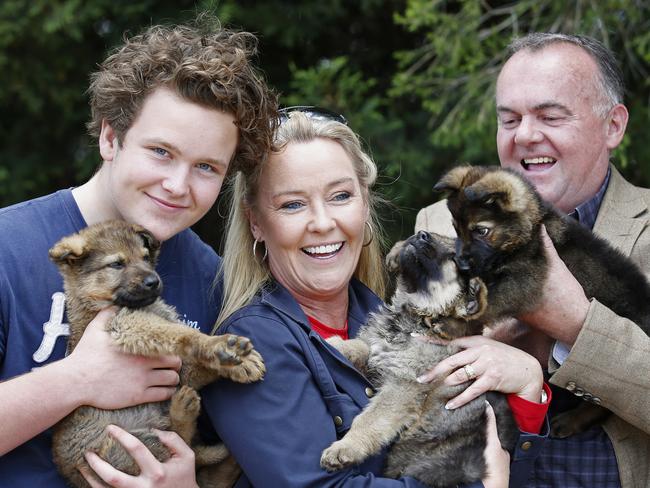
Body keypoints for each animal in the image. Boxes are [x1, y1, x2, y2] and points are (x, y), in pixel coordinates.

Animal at [48, 222, 264, 488]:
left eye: (144, 258)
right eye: (116, 264)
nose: (154, 281)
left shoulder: (180, 372)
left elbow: (200, 366)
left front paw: (239, 363)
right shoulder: (125, 326)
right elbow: (180, 333)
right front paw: (218, 345)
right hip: (123, 447)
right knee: (180, 447)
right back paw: (183, 411)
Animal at [320, 230, 516, 488]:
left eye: (454, 258)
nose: (421, 235)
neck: (418, 318)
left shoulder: (404, 387)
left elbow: (370, 419)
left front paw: (345, 448)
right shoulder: (381, 354)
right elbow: (362, 346)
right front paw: (333, 343)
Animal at [432, 166, 648, 436]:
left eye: (481, 231)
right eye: (456, 229)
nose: (460, 264)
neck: (532, 228)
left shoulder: (526, 278)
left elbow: (492, 300)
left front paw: (454, 323)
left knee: (601, 402)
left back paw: (571, 420)